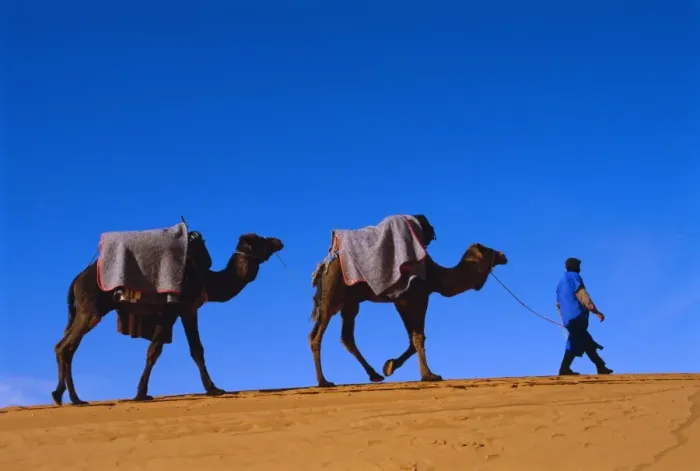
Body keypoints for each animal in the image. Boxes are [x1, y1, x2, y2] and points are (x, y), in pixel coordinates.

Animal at [52, 231, 284, 405]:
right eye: (260, 239)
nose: (278, 241)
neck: (205, 278)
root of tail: (77, 279)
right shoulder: (175, 309)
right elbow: (157, 350)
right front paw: (141, 394)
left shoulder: (187, 310)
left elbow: (194, 349)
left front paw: (213, 388)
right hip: (91, 311)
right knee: (67, 346)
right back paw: (71, 398)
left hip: (81, 311)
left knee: (64, 345)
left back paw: (65, 396)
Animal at [308, 217, 507, 387]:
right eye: (488, 249)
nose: (503, 255)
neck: (436, 276)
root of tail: (323, 266)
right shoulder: (416, 296)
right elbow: (419, 336)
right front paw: (429, 375)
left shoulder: (402, 301)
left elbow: (412, 339)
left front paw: (389, 366)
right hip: (332, 295)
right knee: (316, 335)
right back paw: (324, 381)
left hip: (351, 301)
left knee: (346, 337)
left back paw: (375, 375)